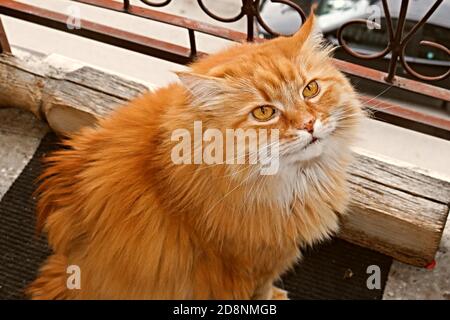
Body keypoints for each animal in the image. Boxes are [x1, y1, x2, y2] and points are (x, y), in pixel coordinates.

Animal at [28, 13, 364, 300]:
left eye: (311, 89)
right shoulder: (261, 263)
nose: (309, 124)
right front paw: (277, 296)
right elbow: (264, 290)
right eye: (264, 113)